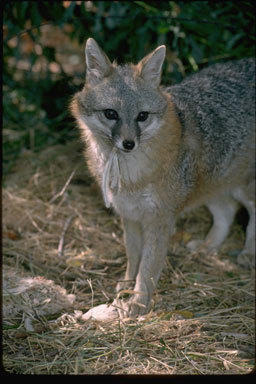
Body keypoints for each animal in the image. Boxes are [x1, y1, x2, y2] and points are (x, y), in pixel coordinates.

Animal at [70, 38, 254, 318]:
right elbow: (133, 258)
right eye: (111, 114)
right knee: (227, 211)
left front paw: (137, 304)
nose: (128, 144)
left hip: (243, 189)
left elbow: (147, 269)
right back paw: (207, 248)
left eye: (142, 116)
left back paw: (247, 254)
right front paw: (125, 285)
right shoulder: (130, 216)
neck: (130, 175)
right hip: (209, 186)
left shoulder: (160, 220)